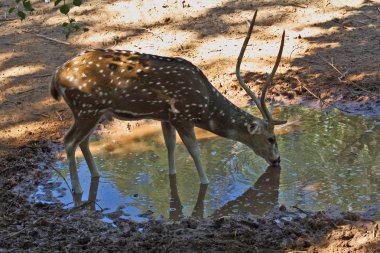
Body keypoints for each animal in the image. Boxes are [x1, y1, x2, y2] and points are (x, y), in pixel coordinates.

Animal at [50, 10, 288, 195]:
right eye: (271, 138)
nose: (277, 160)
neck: (205, 106)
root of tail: (56, 76)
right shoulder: (183, 115)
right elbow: (194, 150)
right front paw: (205, 183)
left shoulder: (165, 117)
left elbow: (170, 146)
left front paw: (172, 178)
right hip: (86, 108)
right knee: (69, 141)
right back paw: (77, 190)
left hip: (94, 112)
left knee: (83, 141)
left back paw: (96, 176)